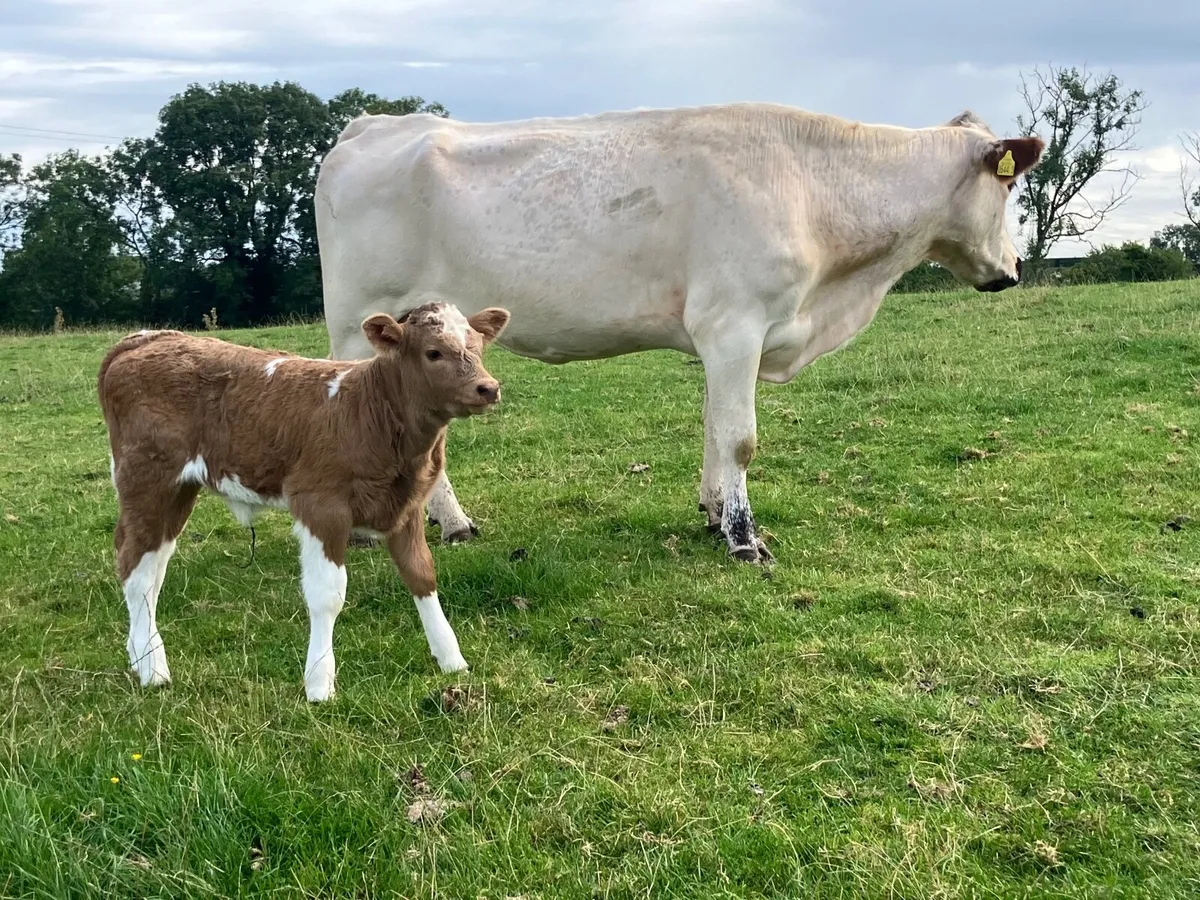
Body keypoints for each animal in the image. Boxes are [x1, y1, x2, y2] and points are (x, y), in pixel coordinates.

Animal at [97, 302, 511, 701]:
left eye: (477, 346)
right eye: (433, 352)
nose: (487, 388)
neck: (369, 408)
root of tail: (148, 337)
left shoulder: (405, 507)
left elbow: (421, 574)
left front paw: (451, 658)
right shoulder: (321, 506)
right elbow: (328, 594)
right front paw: (319, 684)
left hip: (178, 491)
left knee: (153, 566)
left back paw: (140, 654)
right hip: (148, 480)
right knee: (136, 571)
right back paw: (153, 671)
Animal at [315, 102, 1044, 563]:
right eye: (1009, 190)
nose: (1012, 271)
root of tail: (370, 125)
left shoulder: (723, 337)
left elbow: (715, 431)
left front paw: (716, 511)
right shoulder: (736, 322)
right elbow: (742, 438)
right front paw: (745, 539)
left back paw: (455, 525)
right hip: (358, 323)